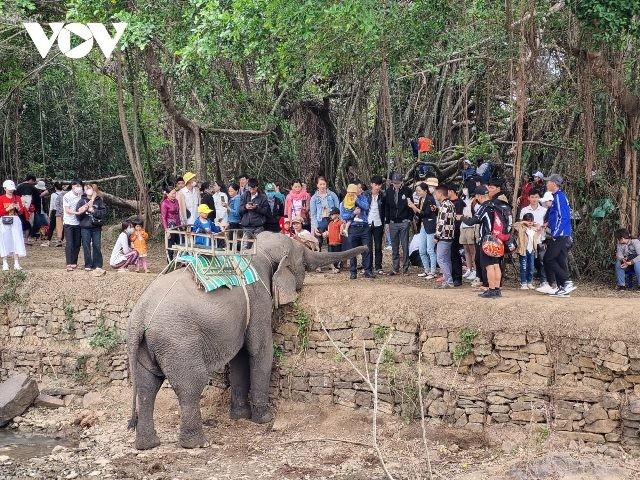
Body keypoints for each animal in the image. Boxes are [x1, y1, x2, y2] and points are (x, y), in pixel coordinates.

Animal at [125, 232, 368, 450]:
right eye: (303, 260)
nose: (365, 247)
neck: (257, 250)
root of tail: (139, 317)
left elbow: (240, 356)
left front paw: (239, 416)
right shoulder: (259, 297)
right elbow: (260, 350)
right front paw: (265, 419)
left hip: (149, 344)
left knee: (147, 385)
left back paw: (148, 445)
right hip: (178, 340)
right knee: (190, 385)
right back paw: (197, 443)